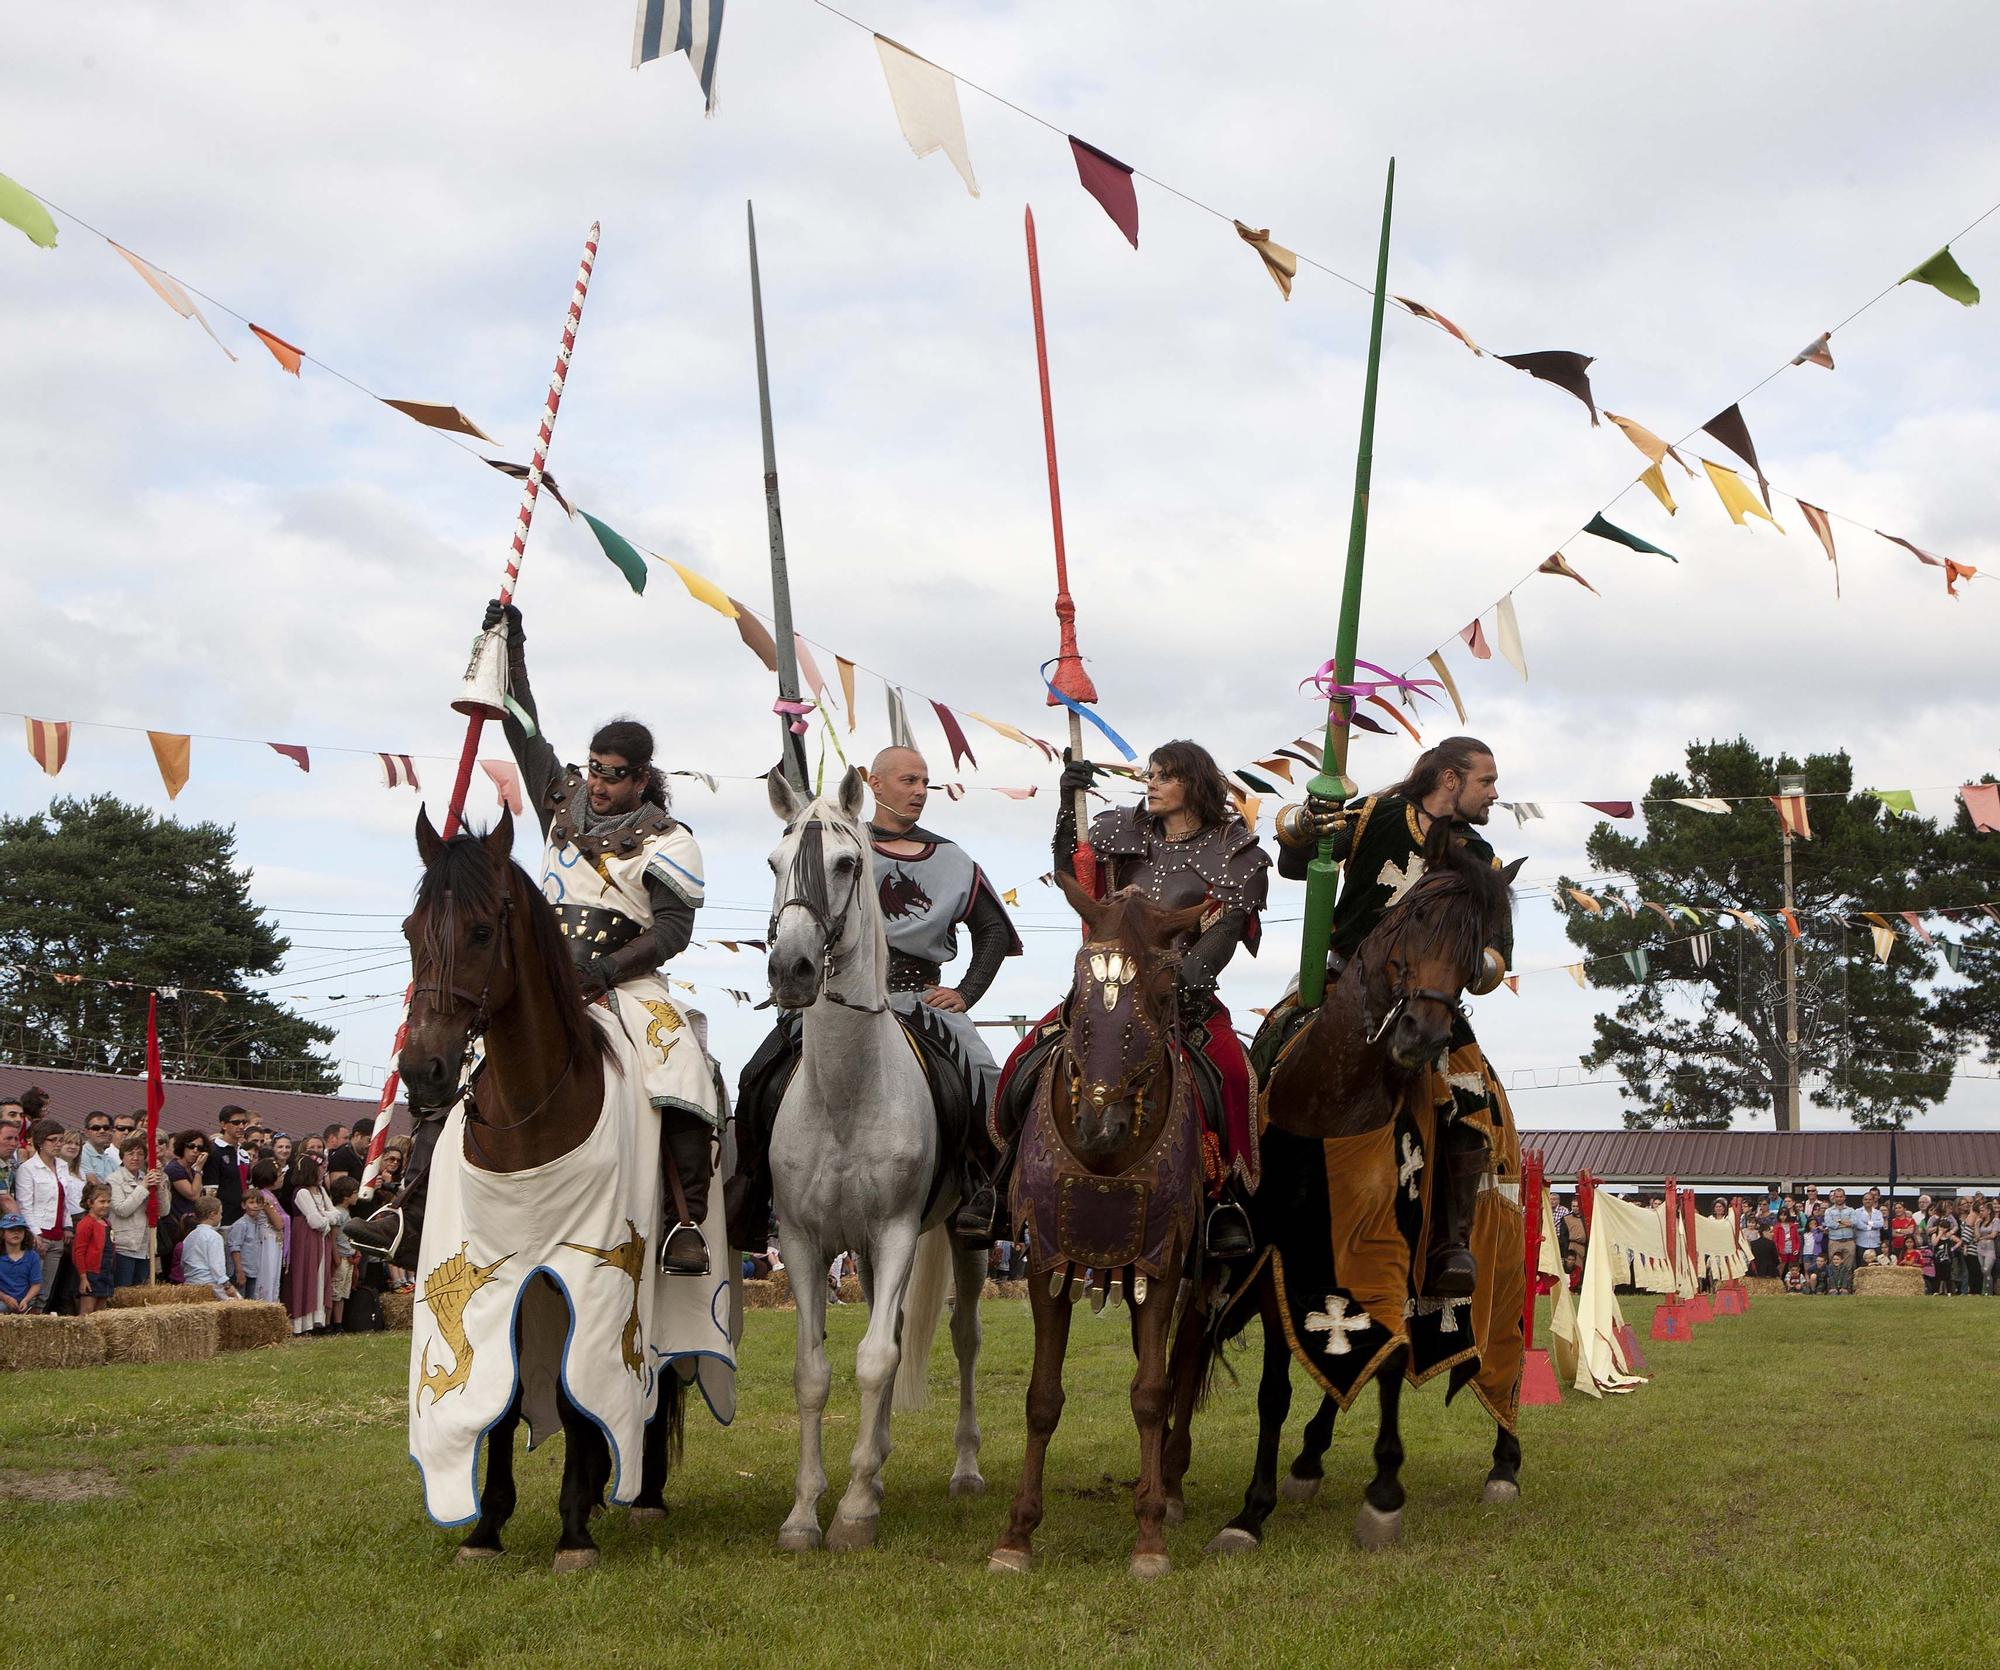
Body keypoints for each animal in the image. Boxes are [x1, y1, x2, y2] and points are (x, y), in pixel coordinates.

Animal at [398, 816, 688, 1576]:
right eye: (412, 929)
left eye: (480, 931)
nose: (423, 1069)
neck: (534, 1108)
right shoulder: (496, 1277)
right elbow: (501, 1398)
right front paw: (485, 1528)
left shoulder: (585, 1278)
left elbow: (573, 1386)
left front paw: (573, 1530)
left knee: (661, 1375)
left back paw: (641, 1494)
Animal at [760, 772, 988, 1552]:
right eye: (774, 863)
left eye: (845, 864)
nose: (791, 969)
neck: (846, 1096)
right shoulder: (804, 1242)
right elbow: (814, 1372)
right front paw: (806, 1511)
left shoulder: (894, 1233)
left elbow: (876, 1359)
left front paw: (854, 1511)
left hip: (962, 1239)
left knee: (962, 1338)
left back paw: (963, 1470)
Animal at [988, 876, 1216, 1584]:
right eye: (1075, 991)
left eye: (1166, 992)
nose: (1099, 1124)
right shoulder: (1046, 1260)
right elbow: (1041, 1397)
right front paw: (1017, 1534)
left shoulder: (1161, 1261)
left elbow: (1150, 1392)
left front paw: (1149, 1538)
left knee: (1182, 1363)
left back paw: (1170, 1486)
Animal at [1192, 844, 1520, 1560]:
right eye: (1413, 916)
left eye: (1478, 947)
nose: (1422, 1036)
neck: (1332, 1103)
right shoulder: (1284, 1265)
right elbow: (1276, 1389)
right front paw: (1250, 1511)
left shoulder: (1390, 1255)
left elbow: (1392, 1364)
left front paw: (1384, 1494)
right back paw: (1308, 1460)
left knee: (1508, 1357)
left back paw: (1506, 1462)